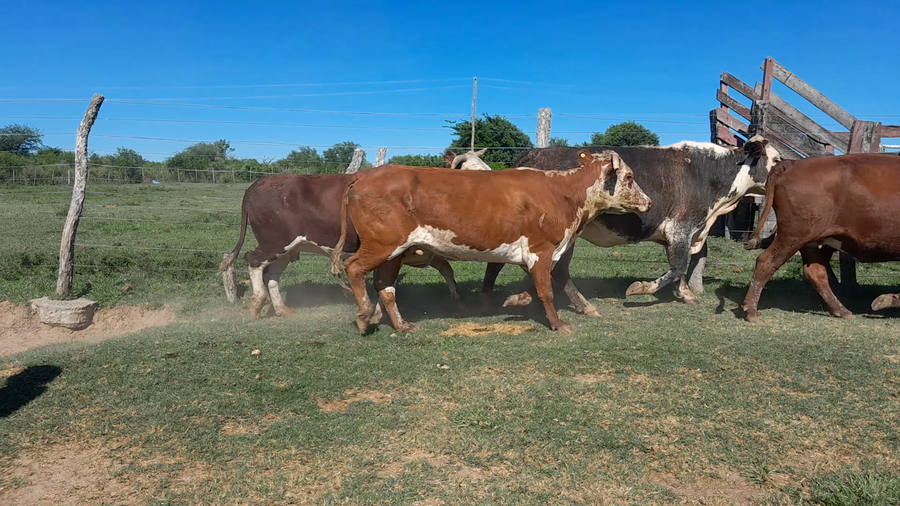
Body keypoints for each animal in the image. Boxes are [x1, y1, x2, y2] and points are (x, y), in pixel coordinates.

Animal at [219, 149, 492, 319]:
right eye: (463, 168)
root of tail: (260, 183)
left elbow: (445, 269)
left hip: (288, 247)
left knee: (272, 273)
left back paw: (282, 309)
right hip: (275, 240)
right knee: (253, 261)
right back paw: (257, 302)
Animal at [329, 149, 652, 334]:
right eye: (629, 176)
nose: (648, 202)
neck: (562, 192)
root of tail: (364, 176)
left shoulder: (533, 253)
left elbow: (536, 285)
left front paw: (516, 300)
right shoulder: (542, 249)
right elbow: (546, 290)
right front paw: (558, 323)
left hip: (396, 251)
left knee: (385, 286)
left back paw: (401, 325)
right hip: (382, 244)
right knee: (354, 267)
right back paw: (364, 316)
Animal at [479, 137, 780, 316]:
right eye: (776, 160)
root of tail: (532, 155)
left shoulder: (683, 234)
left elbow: (679, 268)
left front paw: (686, 295)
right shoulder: (681, 228)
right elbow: (676, 268)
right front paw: (640, 288)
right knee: (554, 268)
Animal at [741, 153, 900, 322]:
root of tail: (792, 164)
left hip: (813, 242)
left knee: (816, 273)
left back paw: (841, 310)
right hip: (793, 236)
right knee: (766, 262)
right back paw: (752, 312)